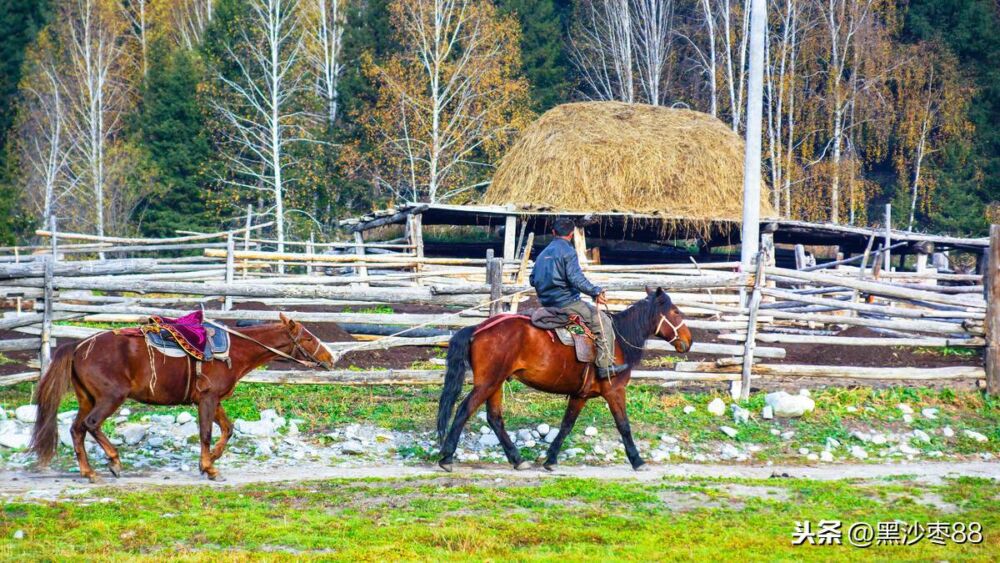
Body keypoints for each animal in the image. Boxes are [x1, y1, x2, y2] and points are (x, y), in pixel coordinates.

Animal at [29, 316, 334, 482]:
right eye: (308, 338)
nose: (331, 358)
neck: (235, 351)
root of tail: (78, 346)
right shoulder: (208, 399)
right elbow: (206, 433)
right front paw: (210, 468)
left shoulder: (214, 400)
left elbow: (228, 429)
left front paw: (210, 461)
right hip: (109, 398)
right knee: (91, 425)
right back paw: (113, 461)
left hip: (87, 399)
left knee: (76, 429)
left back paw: (88, 472)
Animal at [438, 288, 696, 474]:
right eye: (675, 312)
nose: (689, 341)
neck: (618, 340)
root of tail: (478, 328)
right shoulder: (615, 391)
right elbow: (624, 425)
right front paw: (637, 460)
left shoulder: (579, 395)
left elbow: (566, 425)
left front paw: (551, 459)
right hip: (487, 383)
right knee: (464, 410)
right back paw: (447, 457)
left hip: (496, 383)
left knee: (494, 418)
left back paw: (517, 459)